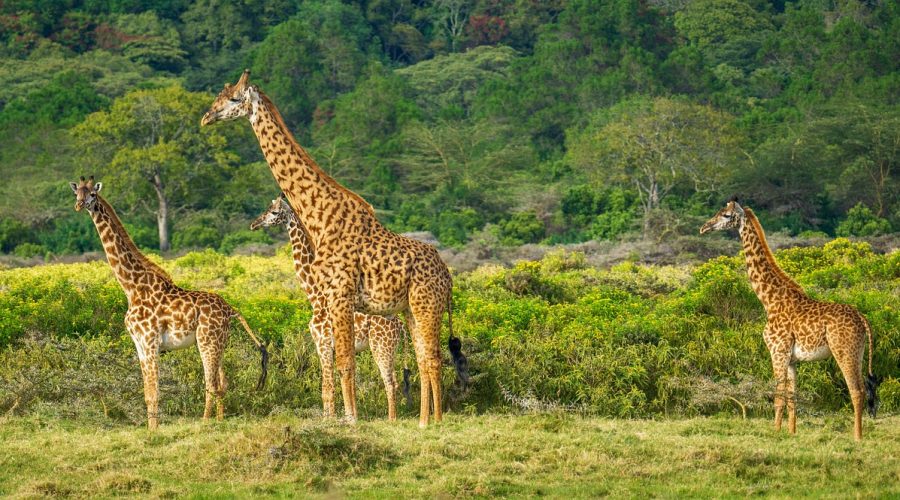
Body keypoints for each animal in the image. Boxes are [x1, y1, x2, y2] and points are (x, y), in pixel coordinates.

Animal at [70, 176, 268, 429]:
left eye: (93, 194)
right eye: (77, 193)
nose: (79, 205)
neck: (132, 287)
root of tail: (231, 309)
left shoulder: (150, 341)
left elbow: (154, 392)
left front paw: (154, 430)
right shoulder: (139, 344)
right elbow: (147, 392)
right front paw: (150, 429)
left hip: (207, 341)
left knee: (212, 384)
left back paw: (205, 423)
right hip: (219, 342)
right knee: (223, 383)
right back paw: (219, 421)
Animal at [250, 194, 407, 420]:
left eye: (274, 212)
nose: (254, 224)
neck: (315, 296)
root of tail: (400, 326)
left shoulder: (323, 344)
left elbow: (327, 388)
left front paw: (330, 420)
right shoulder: (323, 347)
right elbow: (331, 387)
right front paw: (331, 417)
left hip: (381, 345)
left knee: (391, 381)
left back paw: (391, 420)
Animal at [700, 198, 879, 441]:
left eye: (726, 215)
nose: (704, 228)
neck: (770, 300)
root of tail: (862, 319)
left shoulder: (777, 351)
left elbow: (778, 397)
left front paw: (775, 433)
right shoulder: (792, 359)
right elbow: (792, 398)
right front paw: (792, 433)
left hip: (844, 351)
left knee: (857, 391)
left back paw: (857, 437)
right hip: (859, 353)